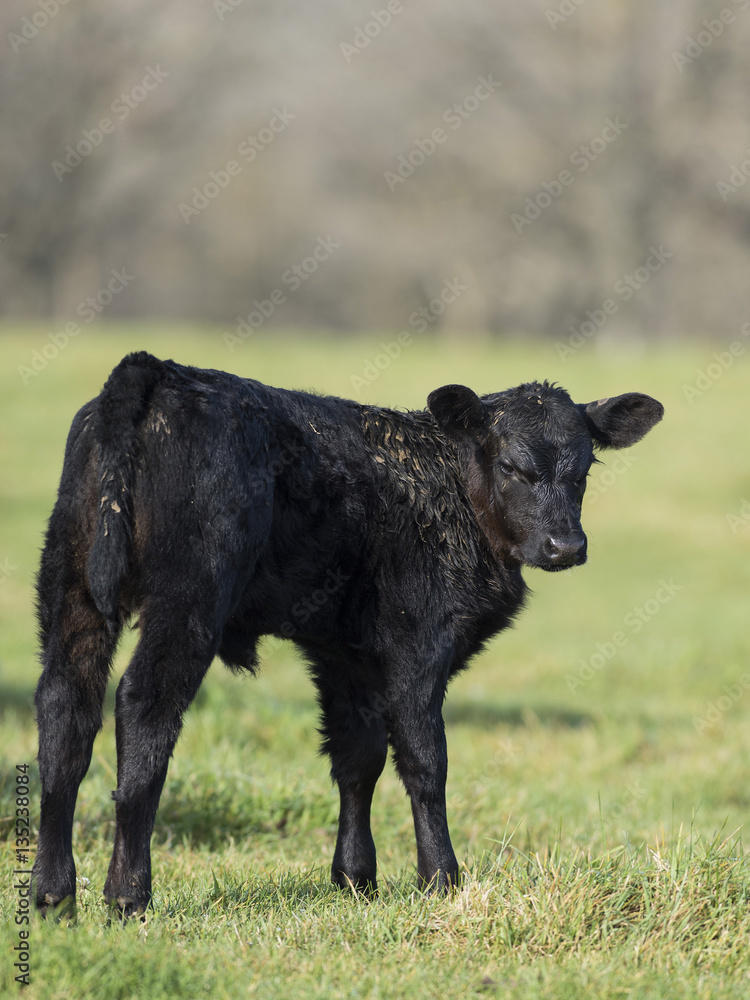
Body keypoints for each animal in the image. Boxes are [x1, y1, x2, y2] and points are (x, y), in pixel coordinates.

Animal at [32, 350, 668, 916]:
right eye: (512, 466)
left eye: (585, 469)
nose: (566, 546)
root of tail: (159, 370)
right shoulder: (417, 646)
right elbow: (424, 761)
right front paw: (440, 879)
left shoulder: (345, 653)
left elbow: (357, 760)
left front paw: (356, 879)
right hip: (188, 600)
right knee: (143, 708)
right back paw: (127, 895)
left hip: (71, 586)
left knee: (66, 713)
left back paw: (53, 896)